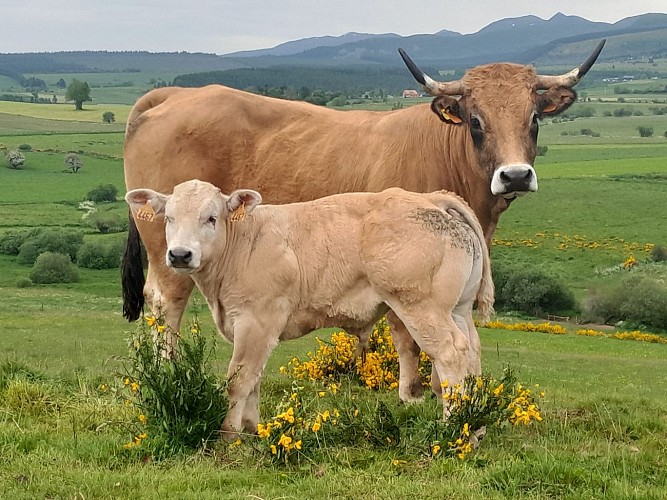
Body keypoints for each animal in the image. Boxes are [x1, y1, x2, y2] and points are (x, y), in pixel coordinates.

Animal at [121, 41, 604, 402]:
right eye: (476, 120)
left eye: (534, 118)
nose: (515, 175)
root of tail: (175, 94)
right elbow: (406, 335)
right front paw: (413, 393)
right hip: (169, 247)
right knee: (166, 302)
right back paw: (165, 374)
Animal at [125, 180, 494, 438]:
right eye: (169, 218)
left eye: (211, 218)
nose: (179, 254)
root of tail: (430, 198)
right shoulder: (255, 329)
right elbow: (253, 379)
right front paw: (252, 429)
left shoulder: (256, 321)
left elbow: (238, 379)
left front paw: (228, 434)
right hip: (458, 309)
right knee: (473, 351)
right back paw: (476, 424)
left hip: (421, 306)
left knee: (452, 353)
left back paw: (455, 426)